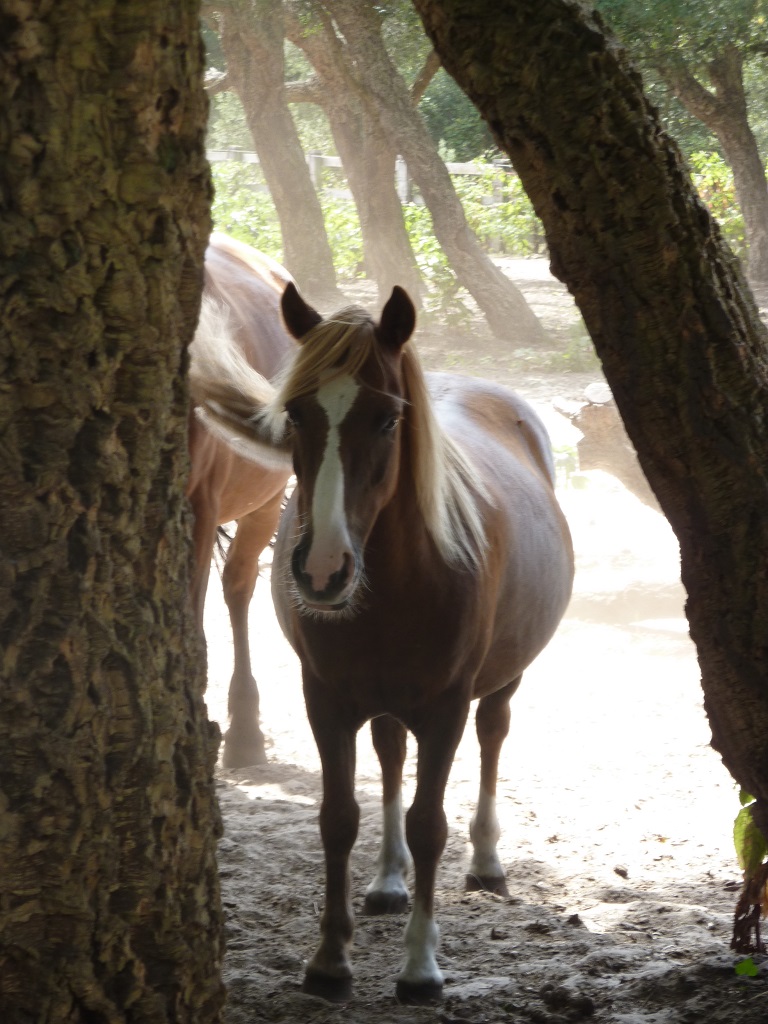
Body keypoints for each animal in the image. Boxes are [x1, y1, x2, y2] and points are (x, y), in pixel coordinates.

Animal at [190, 282, 574, 1003]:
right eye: (297, 413)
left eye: (388, 419)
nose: (322, 571)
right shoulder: (328, 700)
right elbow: (339, 818)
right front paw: (329, 960)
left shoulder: (446, 708)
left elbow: (430, 824)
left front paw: (421, 966)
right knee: (393, 755)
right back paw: (389, 879)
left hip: (500, 682)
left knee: (492, 736)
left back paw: (486, 860)